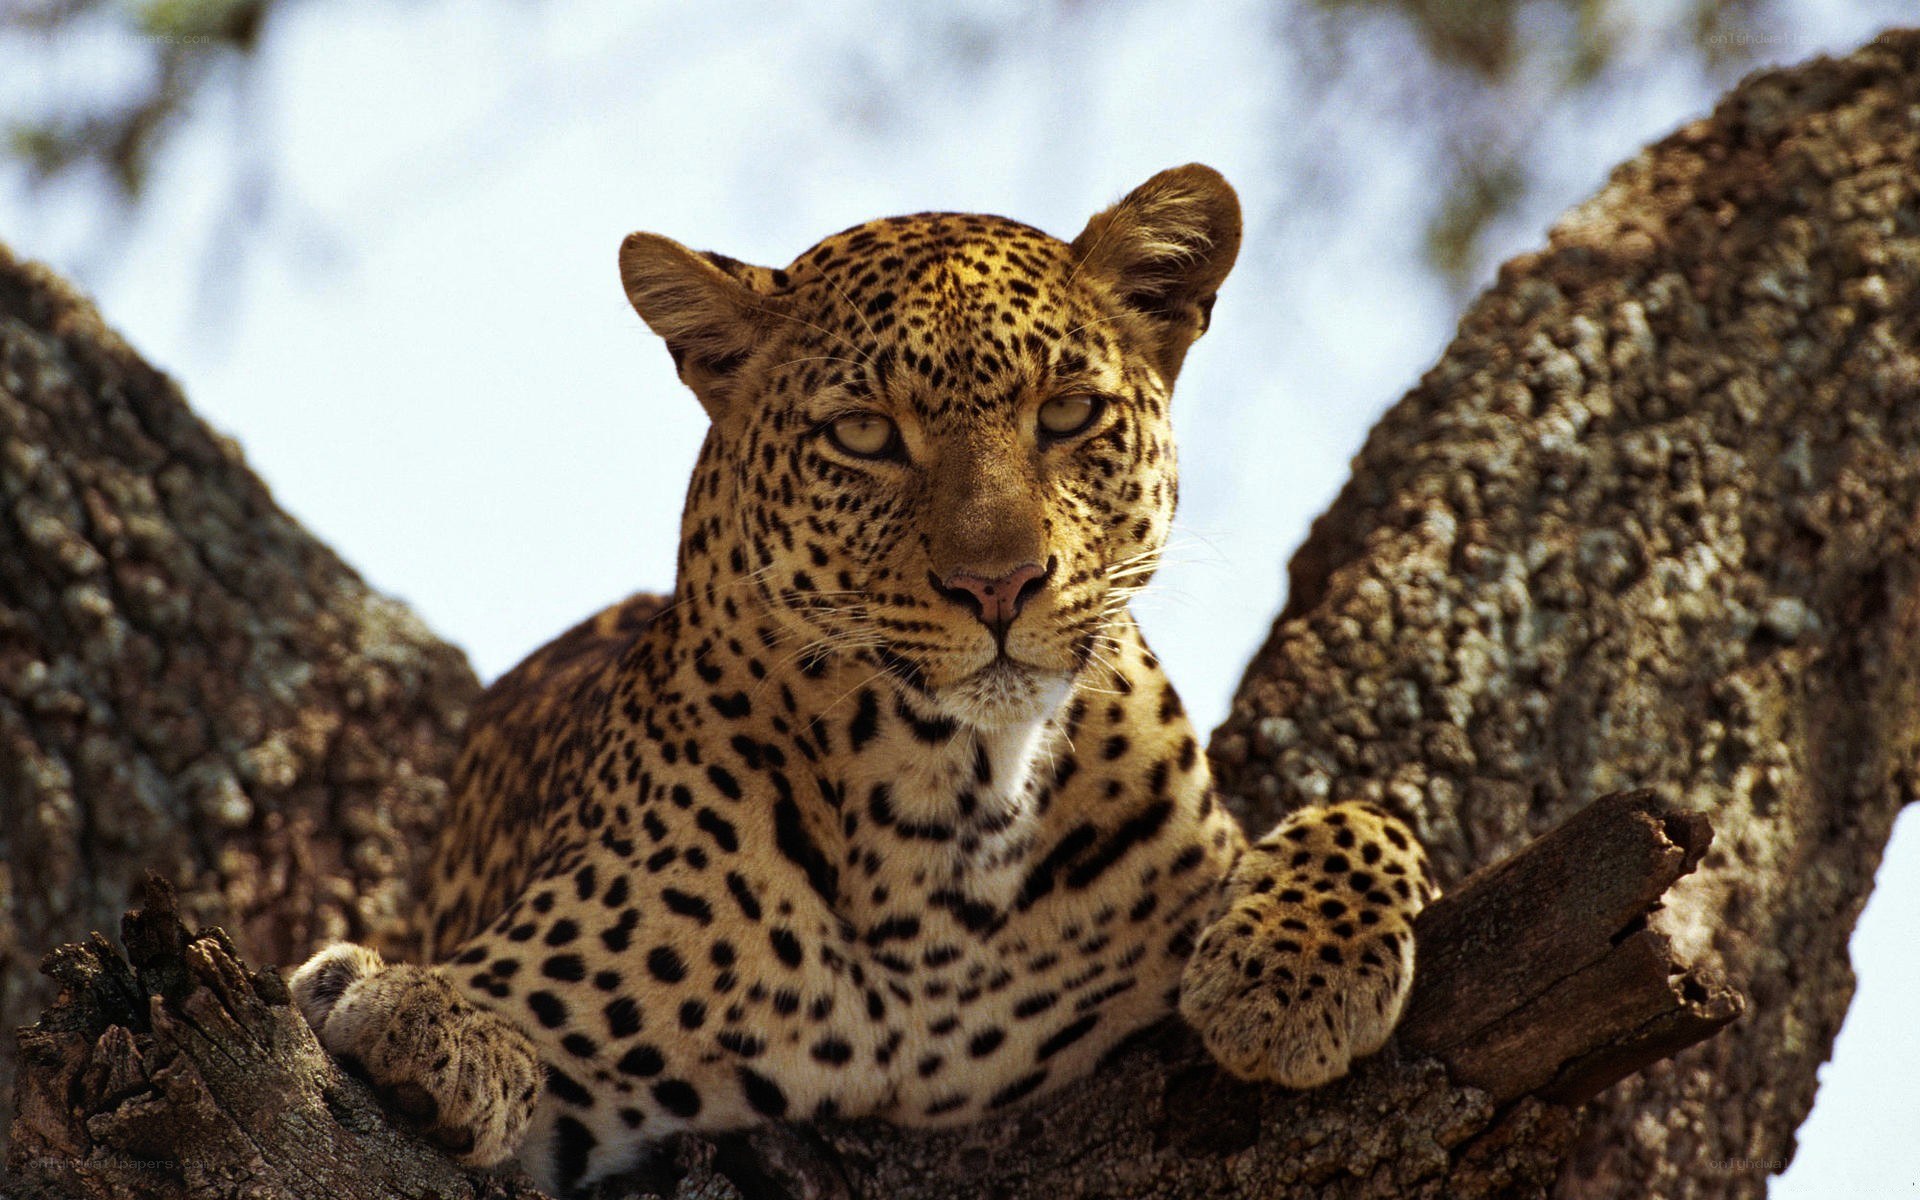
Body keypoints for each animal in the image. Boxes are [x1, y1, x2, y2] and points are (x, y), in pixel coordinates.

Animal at [290, 164, 1435, 1194]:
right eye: (865, 434)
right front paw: (413, 1014)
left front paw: (1288, 978)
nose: (999, 583)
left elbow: (1368, 818)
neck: (949, 806)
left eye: (1068, 415)